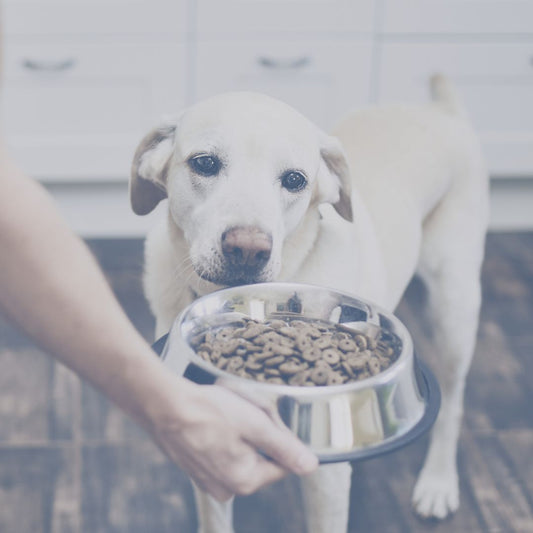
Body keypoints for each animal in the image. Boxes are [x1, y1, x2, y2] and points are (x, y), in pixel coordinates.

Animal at [129, 76, 486, 532]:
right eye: (204, 163)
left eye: (295, 180)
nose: (247, 249)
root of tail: (441, 110)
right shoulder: (210, 449)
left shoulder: (326, 477)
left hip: (454, 307)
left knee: (454, 402)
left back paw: (438, 483)